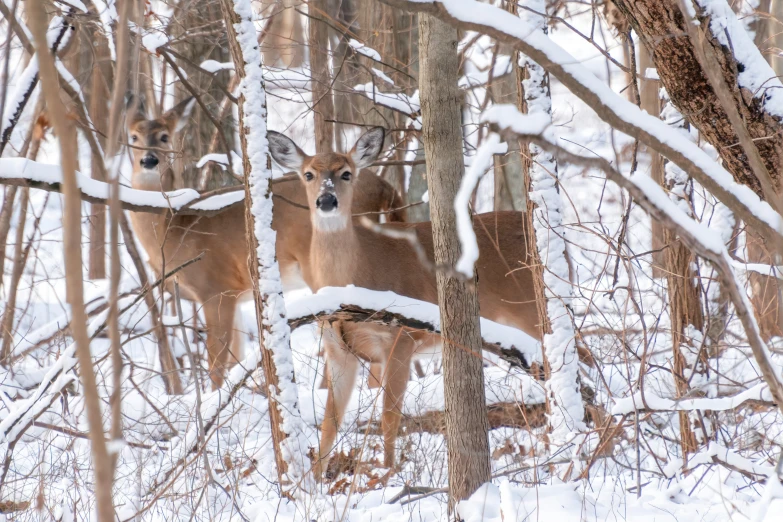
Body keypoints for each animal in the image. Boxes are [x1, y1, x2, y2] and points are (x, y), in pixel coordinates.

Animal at [125, 96, 408, 386]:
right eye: (133, 136)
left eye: (164, 137)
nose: (149, 160)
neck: (173, 228)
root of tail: (387, 188)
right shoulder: (234, 296)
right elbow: (235, 357)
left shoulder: (215, 288)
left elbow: (217, 363)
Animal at [266, 125, 544, 476]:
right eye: (308, 174)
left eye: (346, 173)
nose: (326, 200)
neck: (355, 277)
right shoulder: (337, 348)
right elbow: (330, 424)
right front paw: (314, 482)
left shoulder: (401, 337)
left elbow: (389, 417)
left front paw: (387, 474)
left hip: (531, 310)